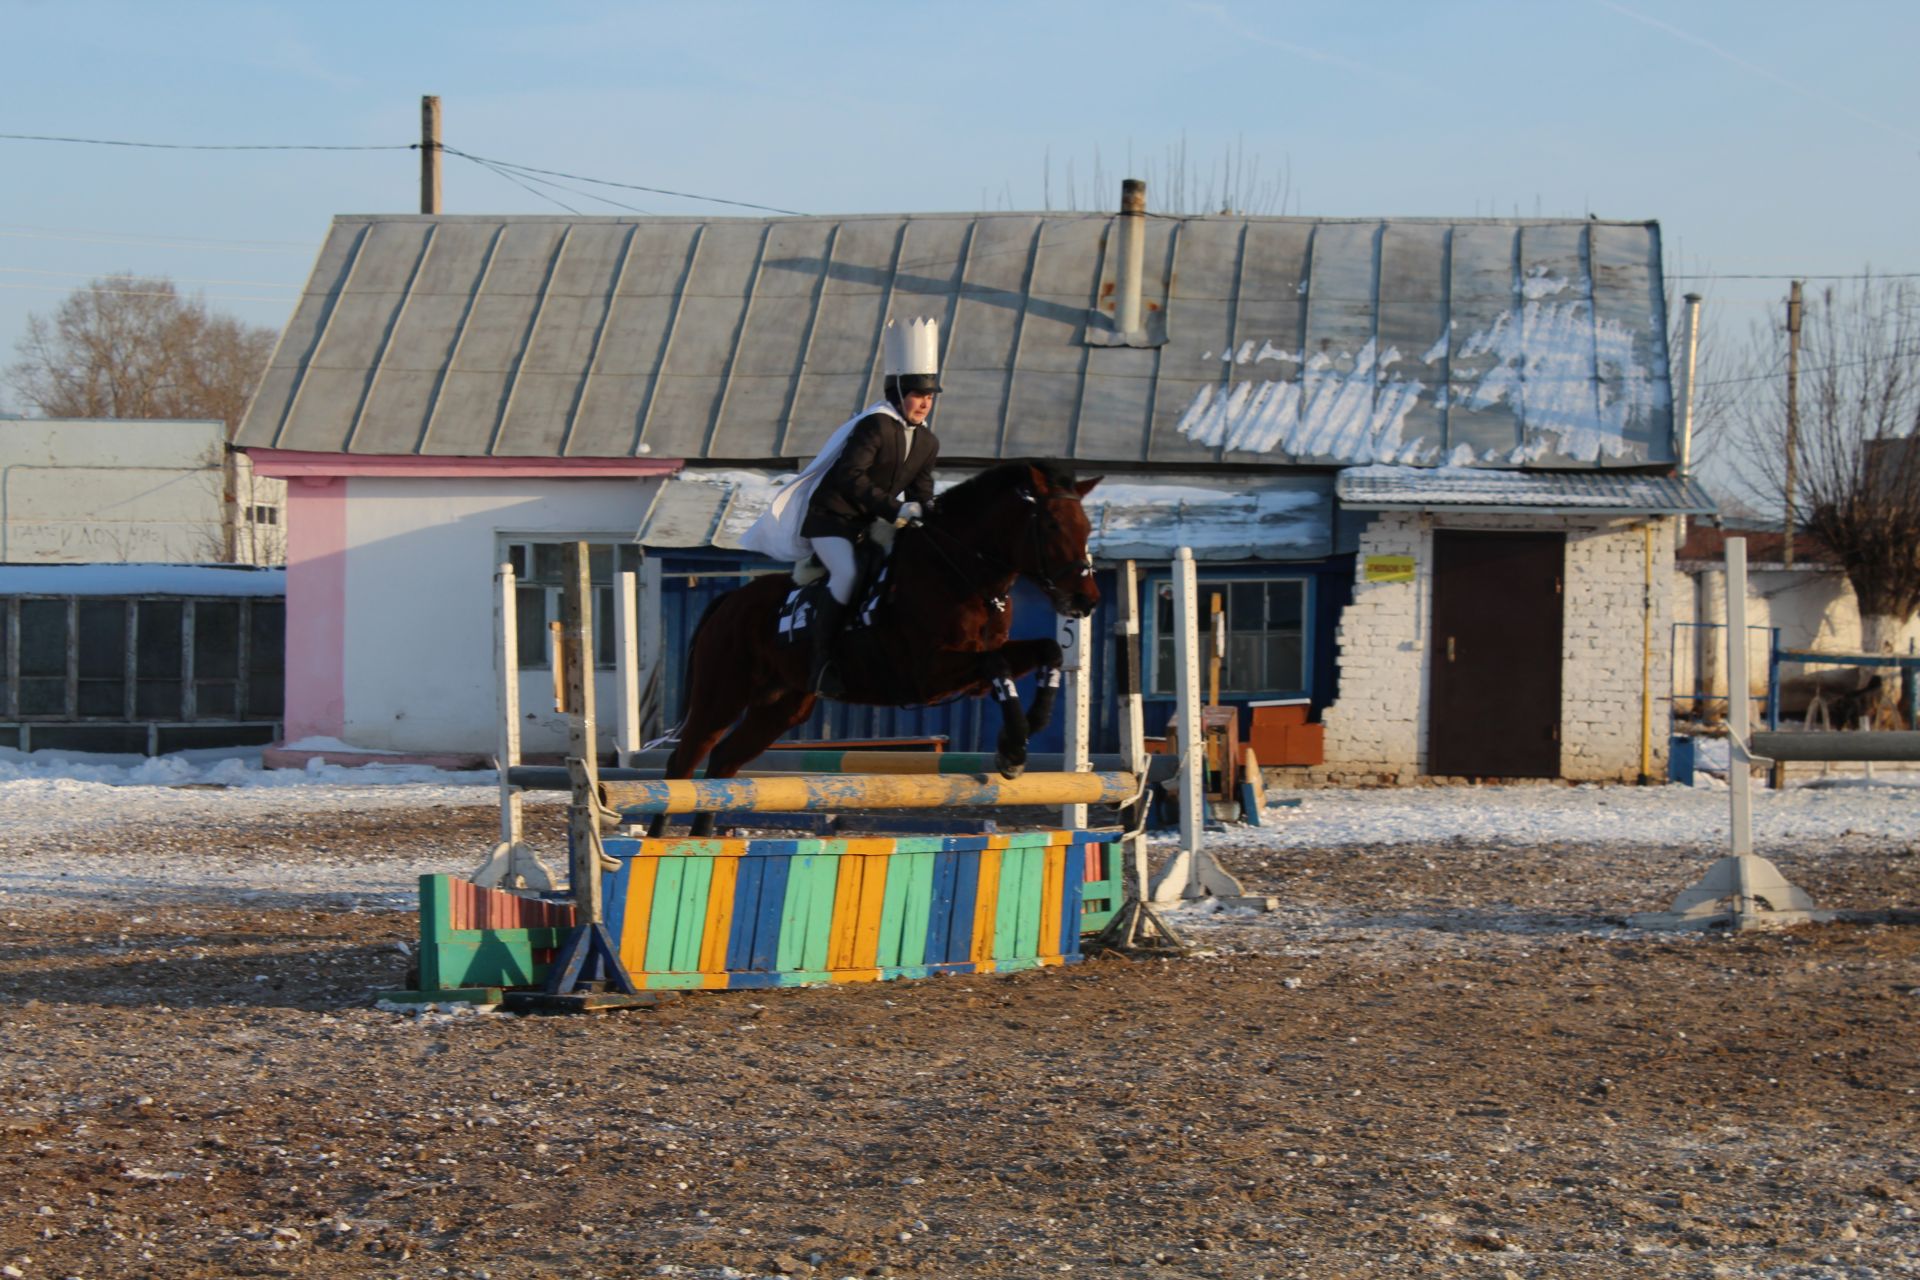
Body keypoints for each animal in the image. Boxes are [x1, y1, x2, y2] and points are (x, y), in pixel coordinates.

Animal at [656, 460, 1105, 840]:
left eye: (1086, 527)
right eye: (1052, 525)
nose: (1086, 601)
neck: (959, 571)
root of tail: (728, 602)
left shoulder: (976, 668)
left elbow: (1048, 650)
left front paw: (1029, 727)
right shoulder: (929, 674)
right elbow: (998, 665)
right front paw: (1012, 749)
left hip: (781, 708)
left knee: (724, 762)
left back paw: (702, 840)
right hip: (722, 697)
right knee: (683, 764)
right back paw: (661, 839)